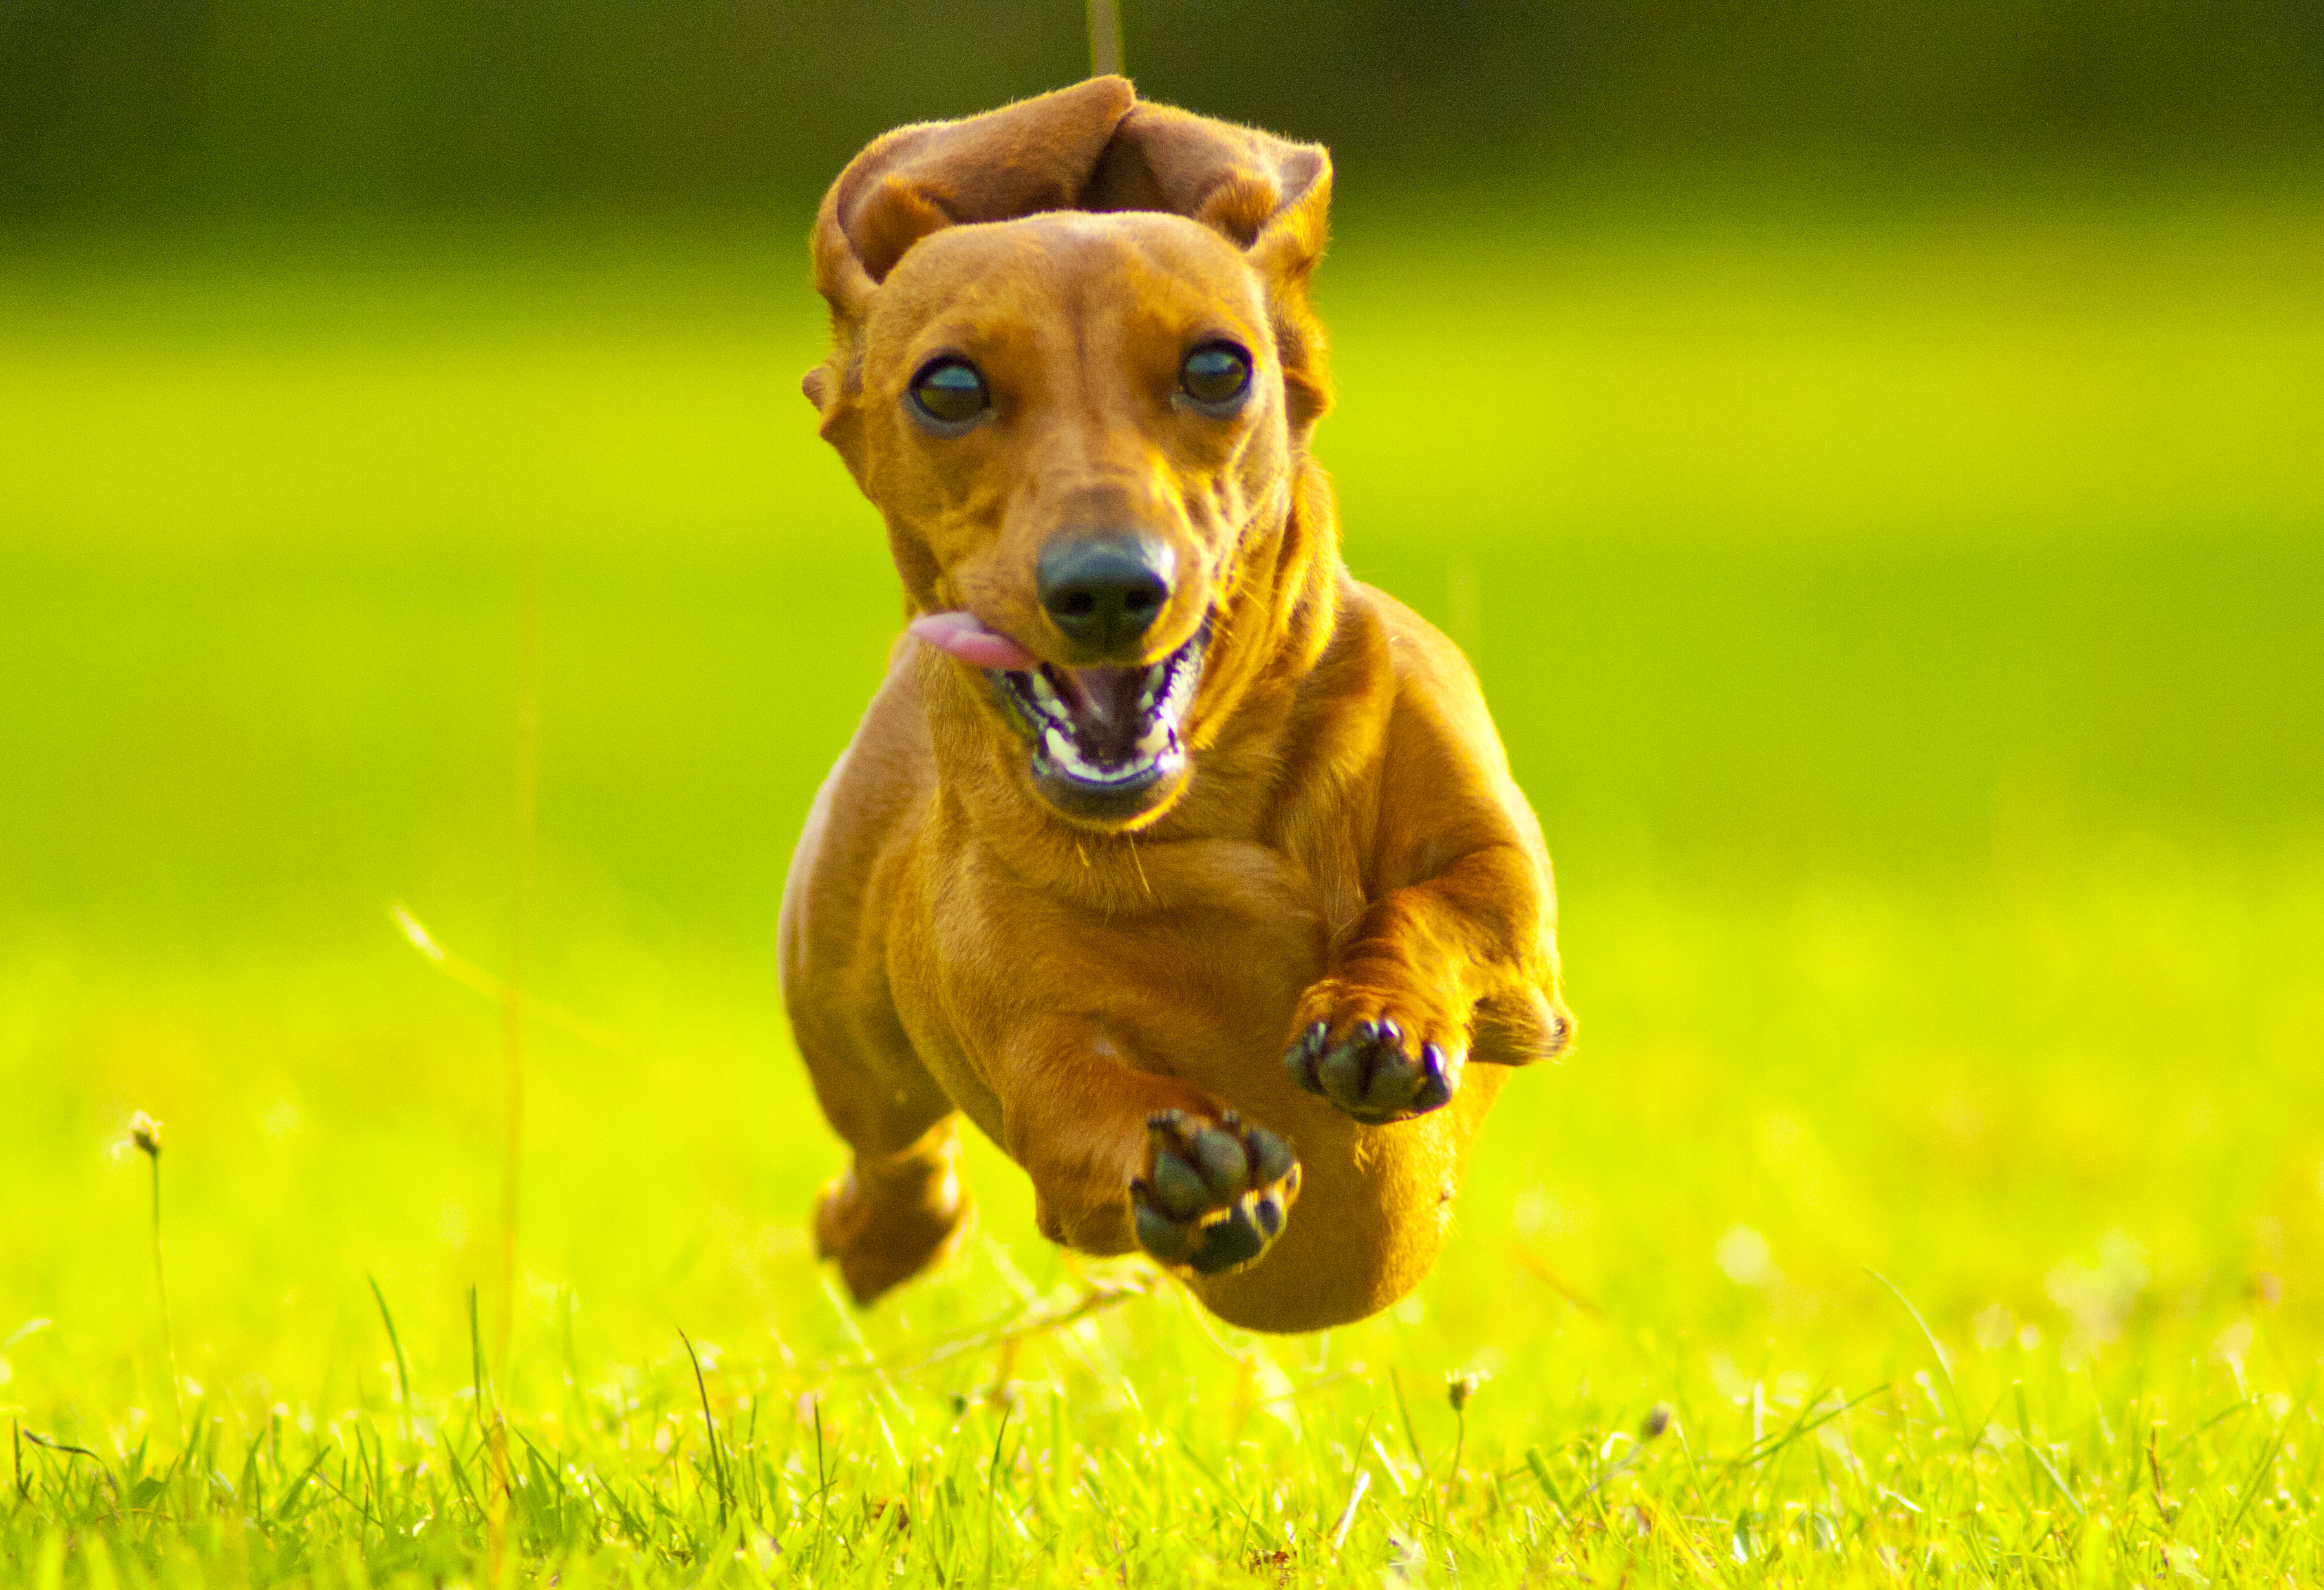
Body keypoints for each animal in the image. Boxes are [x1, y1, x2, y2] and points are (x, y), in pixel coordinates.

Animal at [785, 80, 1580, 1338]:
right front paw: (1183, 1168)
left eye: (1216, 368)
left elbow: (1438, 910)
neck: (1210, 812)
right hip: (842, 1023)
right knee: (897, 1149)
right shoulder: (1032, 1052)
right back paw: (881, 1233)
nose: (1109, 584)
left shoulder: (1509, 915)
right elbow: (1077, 1105)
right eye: (948, 387)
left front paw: (1377, 1012)